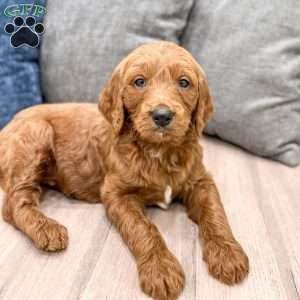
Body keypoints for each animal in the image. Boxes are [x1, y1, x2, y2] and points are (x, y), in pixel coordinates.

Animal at [0, 41, 248, 298]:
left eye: (184, 82)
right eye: (139, 82)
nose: (162, 115)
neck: (158, 151)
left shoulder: (200, 181)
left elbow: (215, 213)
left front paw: (228, 254)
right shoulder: (117, 193)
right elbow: (143, 228)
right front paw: (160, 270)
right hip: (35, 135)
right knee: (14, 203)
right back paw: (47, 228)